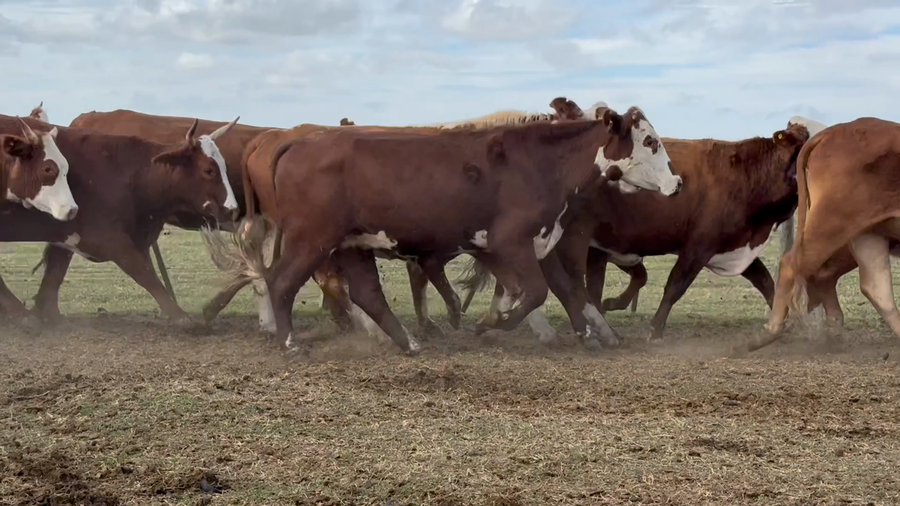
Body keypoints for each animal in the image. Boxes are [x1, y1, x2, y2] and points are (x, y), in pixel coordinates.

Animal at [0, 112, 241, 322]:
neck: (126, 173)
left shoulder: (68, 234)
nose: (233, 209)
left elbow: (54, 274)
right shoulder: (110, 240)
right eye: (209, 170)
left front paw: (47, 313)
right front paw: (181, 317)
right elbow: (146, 275)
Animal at [237, 105, 681, 356]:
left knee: (367, 293)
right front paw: (492, 323)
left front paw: (586, 335)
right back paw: (291, 345)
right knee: (281, 282)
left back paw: (409, 344)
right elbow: (535, 293)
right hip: (311, 239)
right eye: (649, 141)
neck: (541, 162)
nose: (677, 183)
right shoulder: (510, 243)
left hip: (352, 243)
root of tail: (297, 142)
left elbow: (565, 291)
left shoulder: (539, 243)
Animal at [458, 117, 812, 342]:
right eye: (802, 149)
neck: (743, 174)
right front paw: (654, 330)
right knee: (567, 285)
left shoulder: (733, 247)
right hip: (571, 242)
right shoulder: (698, 246)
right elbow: (674, 286)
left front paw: (790, 324)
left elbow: (767, 283)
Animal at [751, 117, 900, 351]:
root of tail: (832, 132)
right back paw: (771, 331)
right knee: (791, 264)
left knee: (874, 285)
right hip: (830, 226)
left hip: (864, 233)